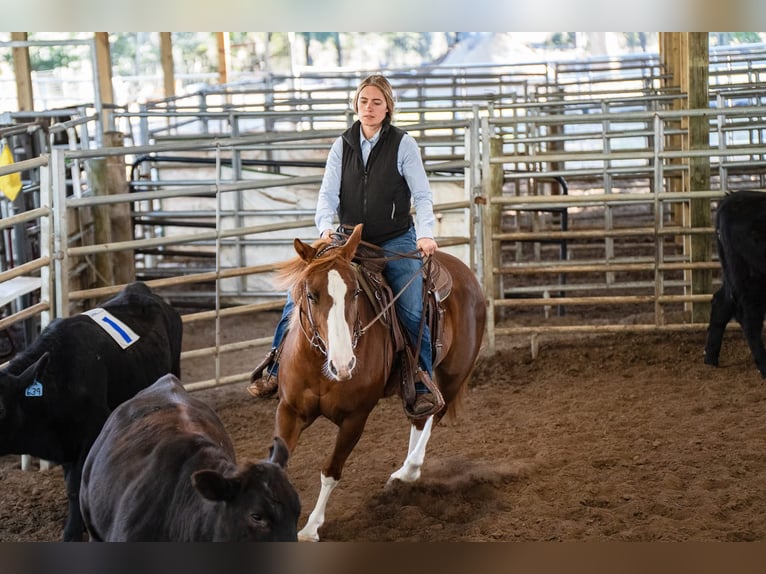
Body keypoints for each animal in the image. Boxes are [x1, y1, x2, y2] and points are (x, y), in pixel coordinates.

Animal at [0, 282, 183, 544]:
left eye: (1, 408)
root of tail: (140, 288)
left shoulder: (92, 432)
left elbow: (77, 484)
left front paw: (73, 532)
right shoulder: (66, 443)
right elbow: (71, 485)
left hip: (175, 369)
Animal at [274, 226, 486, 544]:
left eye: (355, 292)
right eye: (310, 294)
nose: (343, 364)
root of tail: (467, 274)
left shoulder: (355, 418)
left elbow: (331, 471)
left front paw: (311, 529)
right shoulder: (289, 410)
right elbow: (277, 463)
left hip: (453, 374)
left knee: (435, 413)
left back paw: (408, 472)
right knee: (420, 418)